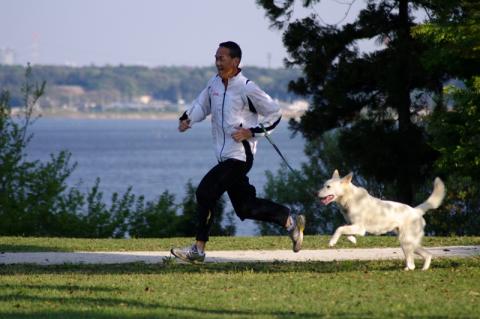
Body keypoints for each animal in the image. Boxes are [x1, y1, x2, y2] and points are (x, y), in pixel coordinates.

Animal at [318, 171, 446, 272]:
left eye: (328, 186)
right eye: (324, 185)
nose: (316, 193)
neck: (349, 198)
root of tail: (416, 210)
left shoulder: (360, 228)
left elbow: (339, 229)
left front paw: (332, 242)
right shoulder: (353, 226)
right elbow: (346, 232)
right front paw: (353, 240)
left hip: (406, 242)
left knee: (412, 263)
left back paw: (410, 268)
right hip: (409, 243)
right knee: (427, 255)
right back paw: (423, 269)